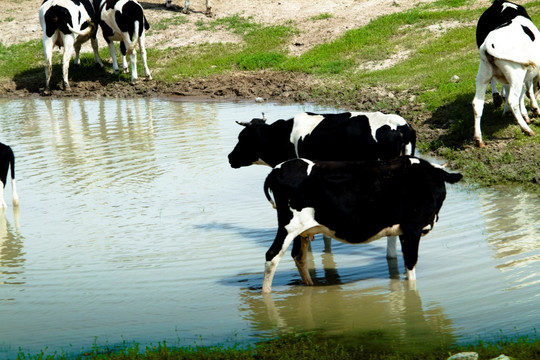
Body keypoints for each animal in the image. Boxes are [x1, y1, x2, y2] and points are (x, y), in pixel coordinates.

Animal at [474, 0, 536, 146]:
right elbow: (528, 90)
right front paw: (534, 110)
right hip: (515, 73)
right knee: (513, 99)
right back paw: (526, 129)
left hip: (483, 75)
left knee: (477, 103)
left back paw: (479, 139)